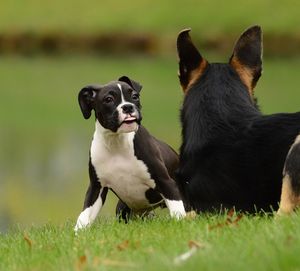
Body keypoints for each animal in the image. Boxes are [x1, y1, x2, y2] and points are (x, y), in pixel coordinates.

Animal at [74, 76, 185, 232]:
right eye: (108, 99)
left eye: (135, 96)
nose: (128, 107)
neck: (116, 142)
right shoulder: (96, 187)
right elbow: (84, 214)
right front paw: (77, 232)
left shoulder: (165, 182)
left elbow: (177, 208)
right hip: (122, 208)